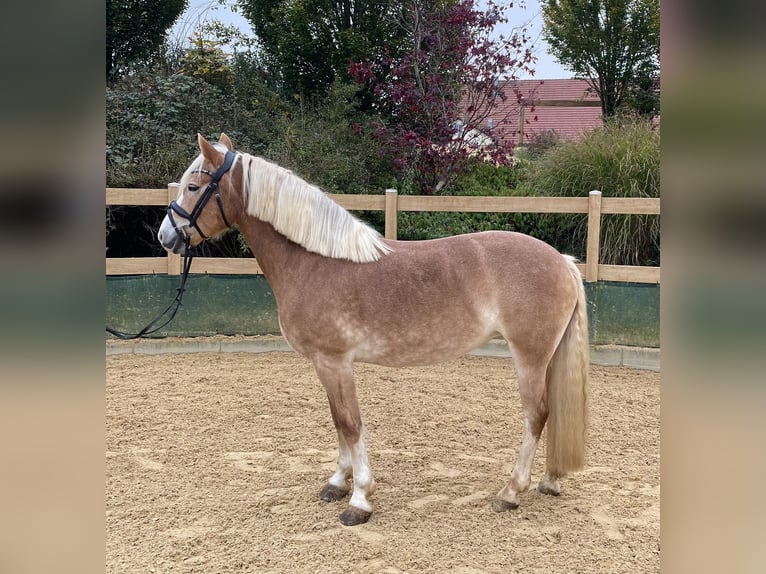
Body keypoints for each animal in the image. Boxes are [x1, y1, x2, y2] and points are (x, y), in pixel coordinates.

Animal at [154, 134, 588, 528]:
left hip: (529, 356)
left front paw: (359, 499)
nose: (165, 236)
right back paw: (549, 481)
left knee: (536, 415)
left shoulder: (334, 361)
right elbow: (337, 420)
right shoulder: (326, 365)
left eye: (193, 187)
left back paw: (511, 492)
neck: (314, 261)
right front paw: (337, 483)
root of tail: (563, 261)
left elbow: (351, 423)